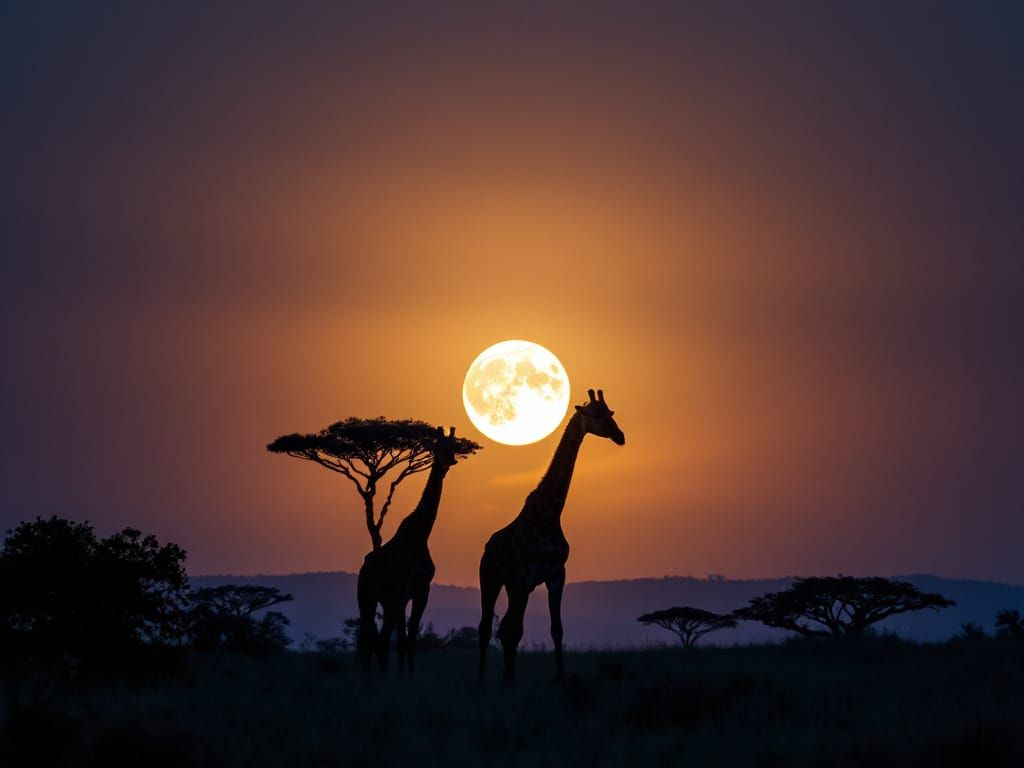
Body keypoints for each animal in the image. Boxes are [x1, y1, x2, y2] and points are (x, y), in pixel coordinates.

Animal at [356, 426, 460, 674]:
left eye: (453, 446)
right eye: (437, 447)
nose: (449, 460)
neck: (420, 535)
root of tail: (363, 569)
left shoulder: (421, 590)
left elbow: (410, 640)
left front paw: (408, 677)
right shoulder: (403, 591)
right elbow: (403, 640)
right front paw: (404, 679)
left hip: (384, 601)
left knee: (377, 640)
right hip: (368, 597)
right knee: (373, 641)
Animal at [478, 388, 625, 682]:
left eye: (611, 412)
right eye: (596, 415)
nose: (620, 436)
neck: (550, 513)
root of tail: (488, 547)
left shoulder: (556, 575)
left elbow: (557, 628)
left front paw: (560, 676)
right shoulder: (525, 576)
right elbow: (516, 631)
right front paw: (511, 681)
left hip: (512, 586)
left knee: (504, 627)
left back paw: (504, 674)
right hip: (491, 579)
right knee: (487, 628)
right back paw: (482, 681)